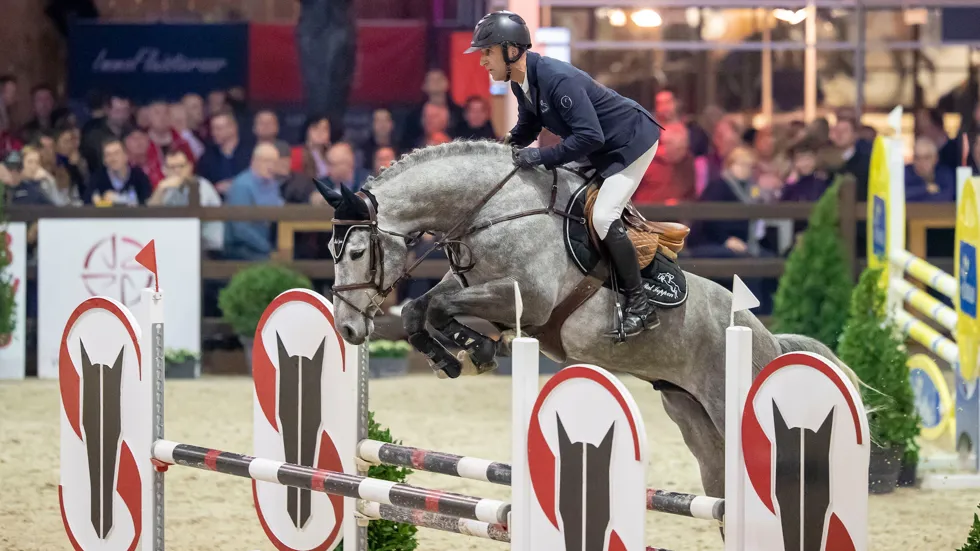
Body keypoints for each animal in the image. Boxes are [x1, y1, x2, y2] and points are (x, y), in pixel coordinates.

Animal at [316, 140, 857, 501]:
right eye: (331, 251)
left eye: (358, 252)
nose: (348, 329)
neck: (496, 210)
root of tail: (767, 341)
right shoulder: (466, 284)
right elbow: (420, 309)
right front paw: (459, 354)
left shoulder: (528, 301)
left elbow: (438, 309)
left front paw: (474, 350)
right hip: (693, 418)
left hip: (730, 404)